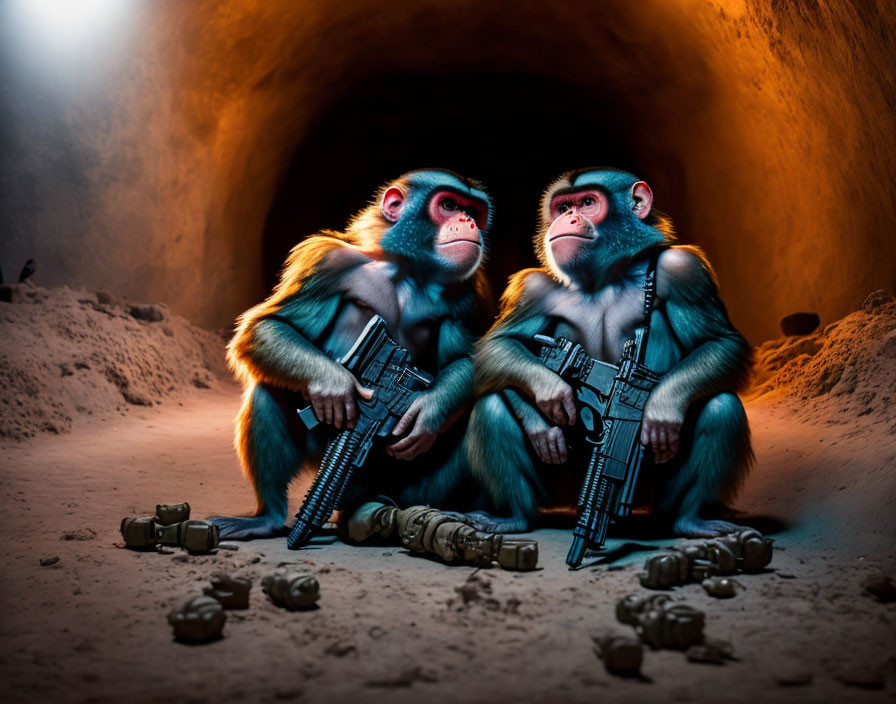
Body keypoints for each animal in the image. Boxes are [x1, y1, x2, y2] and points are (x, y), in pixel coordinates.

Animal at [214, 170, 494, 540]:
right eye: (448, 204)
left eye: (472, 210)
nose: (468, 221)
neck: (405, 270)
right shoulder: (327, 261)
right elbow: (268, 325)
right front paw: (336, 385)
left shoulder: (468, 292)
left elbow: (464, 360)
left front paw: (426, 414)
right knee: (268, 389)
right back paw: (269, 517)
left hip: (403, 489)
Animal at [466, 168, 752, 536]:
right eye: (563, 207)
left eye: (588, 202)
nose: (569, 217)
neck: (605, 275)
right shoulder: (533, 288)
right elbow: (495, 347)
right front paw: (550, 399)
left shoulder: (684, 269)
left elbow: (719, 341)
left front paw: (661, 408)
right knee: (491, 405)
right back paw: (515, 516)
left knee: (721, 405)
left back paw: (691, 520)